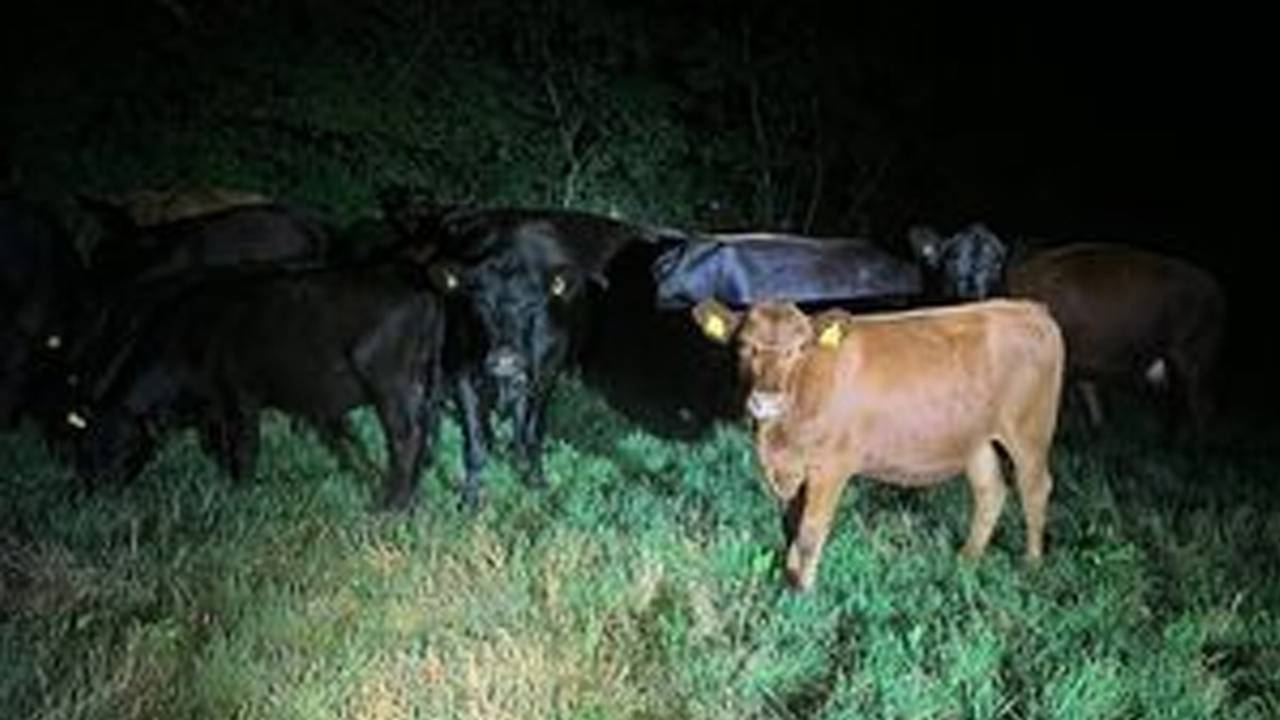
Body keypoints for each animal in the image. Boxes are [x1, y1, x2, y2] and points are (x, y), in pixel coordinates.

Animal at [68, 262, 444, 510]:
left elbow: (245, 448)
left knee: (405, 439)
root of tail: (421, 296)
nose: (96, 497)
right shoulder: (215, 408)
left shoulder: (241, 398)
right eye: (84, 450)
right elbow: (219, 445)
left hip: (390, 386)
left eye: (124, 447)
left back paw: (390, 507)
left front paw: (242, 492)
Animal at [692, 298, 1064, 590]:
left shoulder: (831, 467)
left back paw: (1032, 564)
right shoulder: (789, 468)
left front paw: (803, 591)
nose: (766, 401)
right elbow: (790, 526)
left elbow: (810, 531)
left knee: (1035, 489)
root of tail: (1029, 308)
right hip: (975, 439)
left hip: (1029, 431)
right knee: (991, 492)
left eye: (799, 349)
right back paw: (966, 560)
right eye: (743, 345)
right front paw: (788, 579)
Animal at [1004, 243, 1226, 437]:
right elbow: (1087, 391)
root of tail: (1213, 288)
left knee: (1202, 408)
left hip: (1194, 359)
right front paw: (1096, 428)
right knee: (1179, 402)